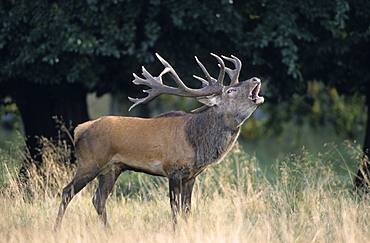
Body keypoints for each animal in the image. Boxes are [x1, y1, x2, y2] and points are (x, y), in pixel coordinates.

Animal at [54, 52, 264, 230]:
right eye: (230, 90)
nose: (256, 78)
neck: (196, 142)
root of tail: (79, 129)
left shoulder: (191, 176)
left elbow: (187, 209)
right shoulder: (173, 170)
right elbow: (175, 209)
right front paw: (176, 232)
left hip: (111, 169)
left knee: (98, 199)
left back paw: (109, 232)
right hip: (90, 162)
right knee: (67, 191)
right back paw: (57, 230)